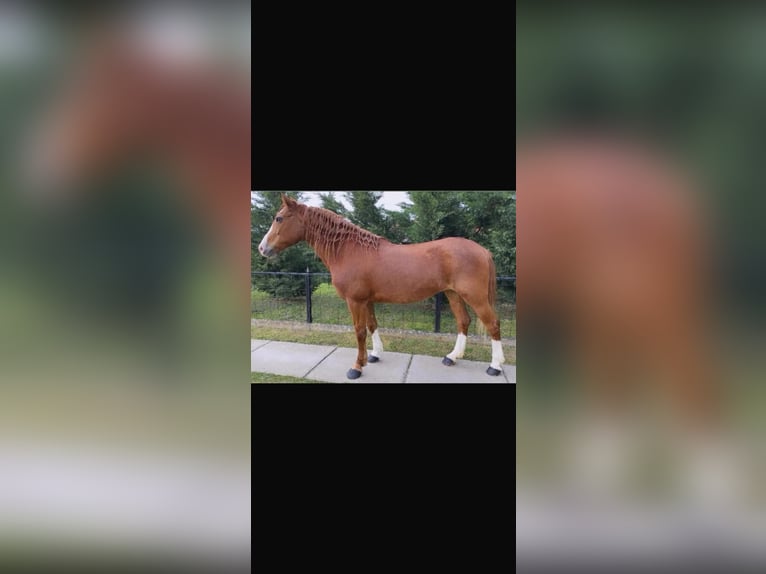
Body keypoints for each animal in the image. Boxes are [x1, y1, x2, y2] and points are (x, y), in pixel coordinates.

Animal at [258, 194, 506, 380]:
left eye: (279, 218)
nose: (262, 248)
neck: (350, 251)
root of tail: (482, 250)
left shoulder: (355, 301)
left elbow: (359, 331)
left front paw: (357, 367)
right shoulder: (366, 300)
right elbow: (372, 325)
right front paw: (374, 355)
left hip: (475, 296)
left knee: (493, 324)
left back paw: (495, 366)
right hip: (453, 294)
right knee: (463, 321)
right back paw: (452, 357)